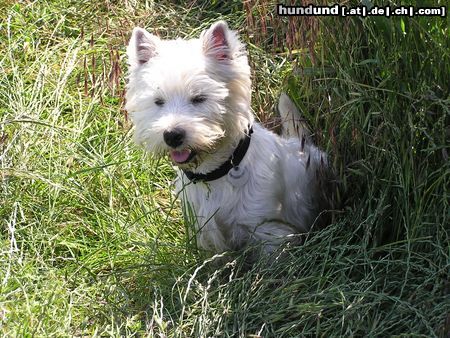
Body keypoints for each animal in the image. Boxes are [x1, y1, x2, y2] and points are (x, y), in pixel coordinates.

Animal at [126, 21, 330, 254]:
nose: (172, 135)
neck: (214, 173)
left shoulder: (269, 232)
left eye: (199, 98)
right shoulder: (205, 232)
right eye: (158, 101)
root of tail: (300, 145)